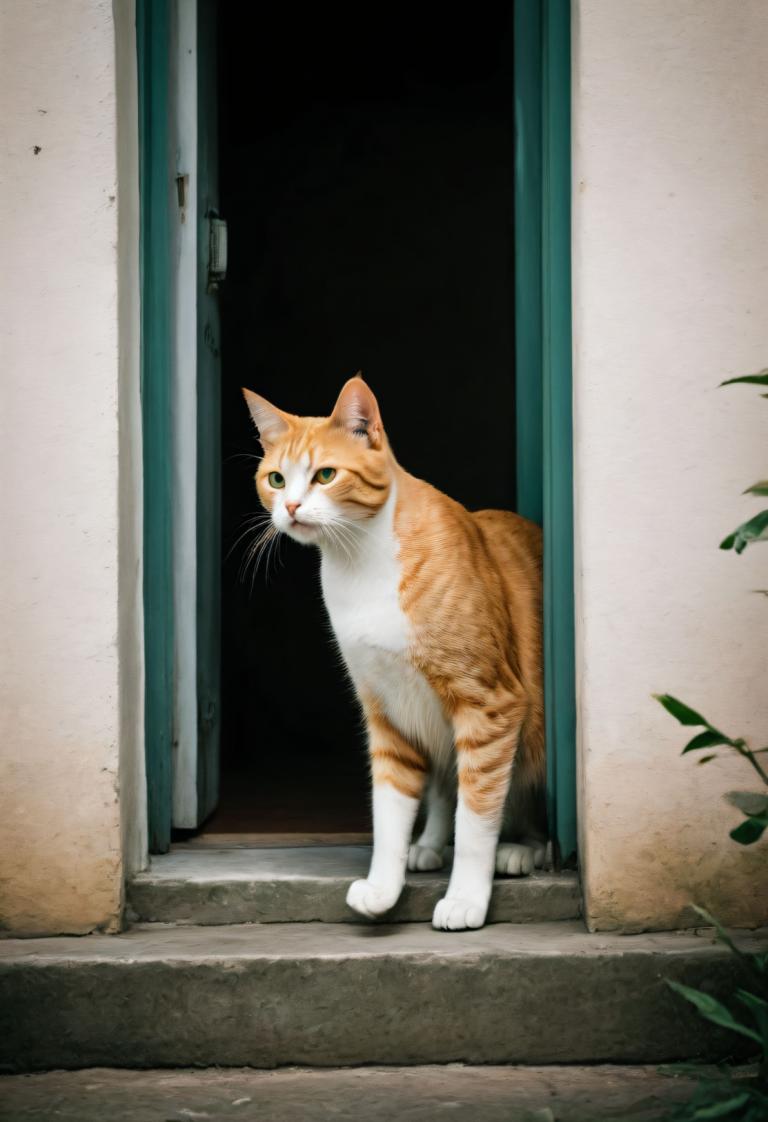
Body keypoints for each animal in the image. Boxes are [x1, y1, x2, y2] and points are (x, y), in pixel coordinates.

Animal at [242, 376, 543, 929]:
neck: (357, 562)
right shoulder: (386, 709)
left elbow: (478, 815)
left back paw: (519, 852)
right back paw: (428, 845)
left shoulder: (489, 703)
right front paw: (386, 885)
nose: (290, 508)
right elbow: (389, 810)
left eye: (325, 475)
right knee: (443, 785)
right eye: (276, 478)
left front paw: (467, 898)